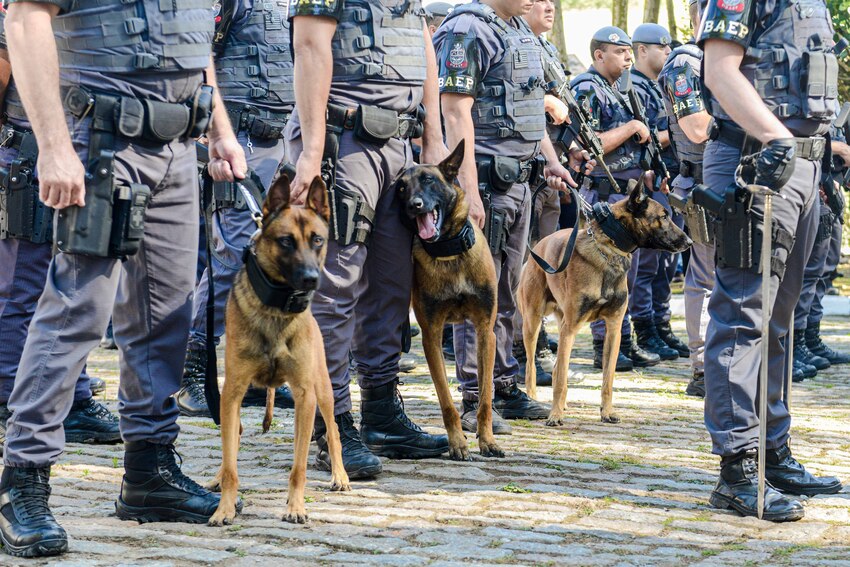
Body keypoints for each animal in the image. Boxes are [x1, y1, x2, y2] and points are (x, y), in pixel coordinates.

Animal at [207, 174, 350, 528]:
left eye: (317, 240)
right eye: (286, 241)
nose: (311, 279)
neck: (276, 308)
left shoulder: (305, 395)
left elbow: (298, 467)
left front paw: (296, 507)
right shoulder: (232, 394)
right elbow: (231, 463)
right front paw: (224, 508)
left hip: (322, 391)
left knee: (334, 430)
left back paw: (340, 475)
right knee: (233, 442)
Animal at [398, 141, 504, 462]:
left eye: (428, 180)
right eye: (402, 188)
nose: (414, 205)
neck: (450, 253)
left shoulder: (485, 331)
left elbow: (485, 397)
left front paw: (487, 440)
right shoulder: (432, 336)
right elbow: (445, 399)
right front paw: (457, 442)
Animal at [516, 182, 688, 426]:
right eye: (663, 216)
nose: (689, 242)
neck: (609, 250)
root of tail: (539, 245)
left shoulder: (613, 329)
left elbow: (608, 378)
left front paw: (607, 412)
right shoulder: (570, 328)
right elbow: (559, 380)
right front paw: (555, 415)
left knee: (559, 367)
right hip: (533, 323)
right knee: (532, 367)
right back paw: (536, 400)